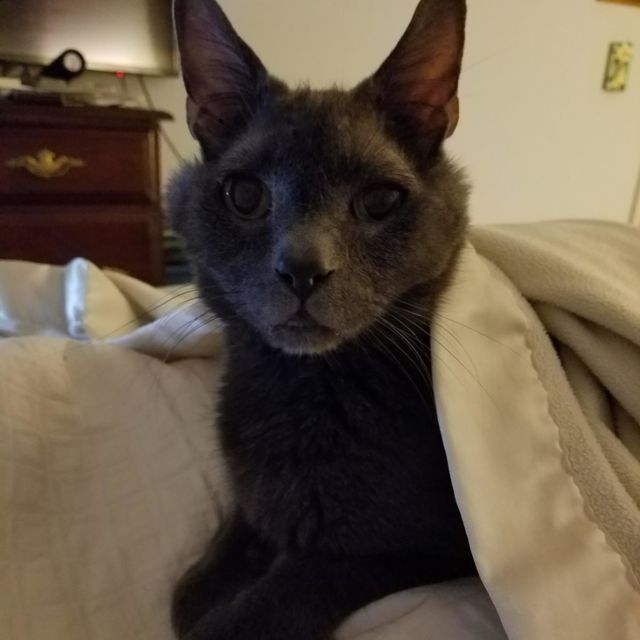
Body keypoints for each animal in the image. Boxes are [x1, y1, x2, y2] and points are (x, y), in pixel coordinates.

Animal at [168, 0, 474, 638]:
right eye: (244, 195)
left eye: (380, 200)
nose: (303, 269)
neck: (300, 393)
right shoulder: (251, 492)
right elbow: (209, 565)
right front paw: (205, 584)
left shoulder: (420, 550)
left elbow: (292, 587)